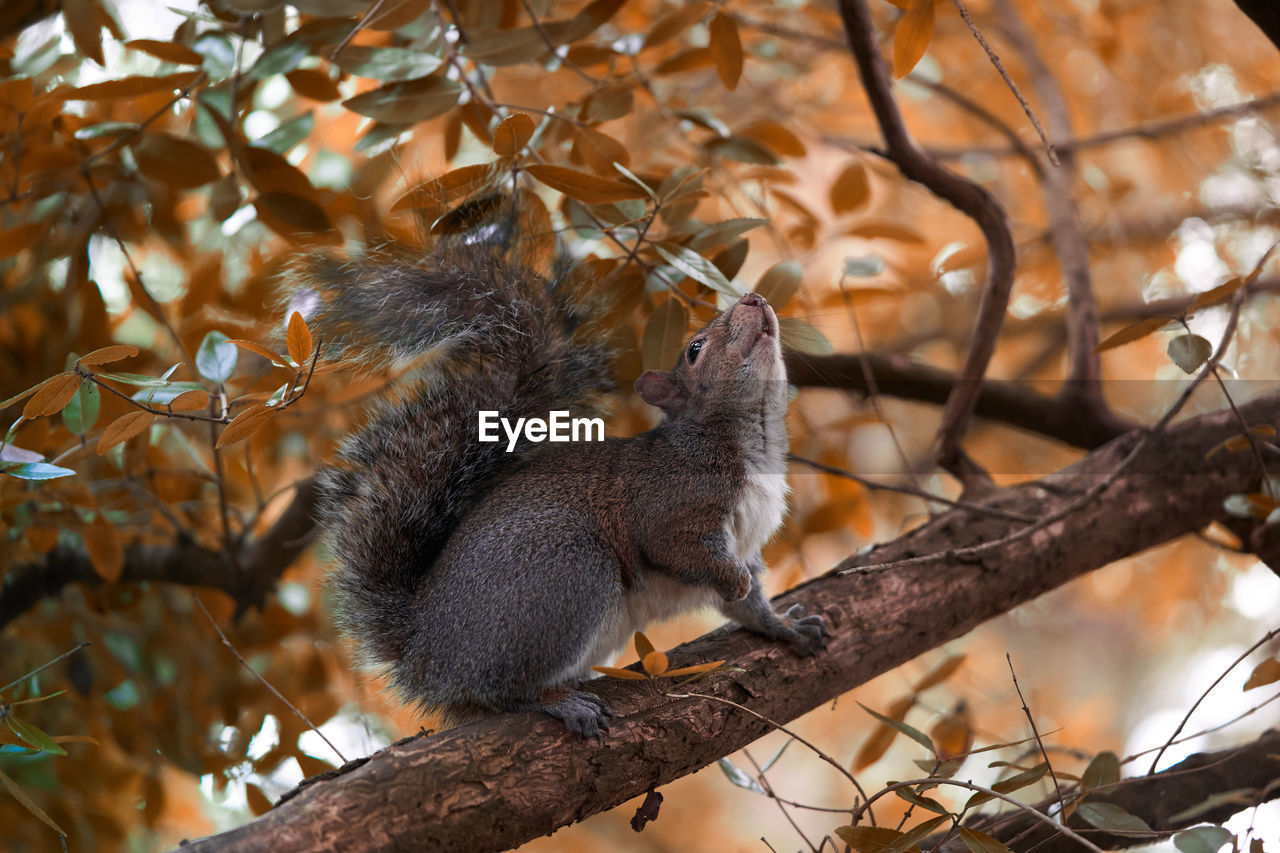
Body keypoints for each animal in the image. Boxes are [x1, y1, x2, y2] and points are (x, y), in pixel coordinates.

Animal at [290, 211, 829, 732]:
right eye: (695, 349)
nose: (755, 299)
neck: (753, 440)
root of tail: (424, 653)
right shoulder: (671, 502)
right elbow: (681, 550)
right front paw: (732, 581)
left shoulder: (749, 541)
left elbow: (750, 605)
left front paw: (785, 627)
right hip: (564, 573)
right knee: (501, 690)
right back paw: (558, 701)